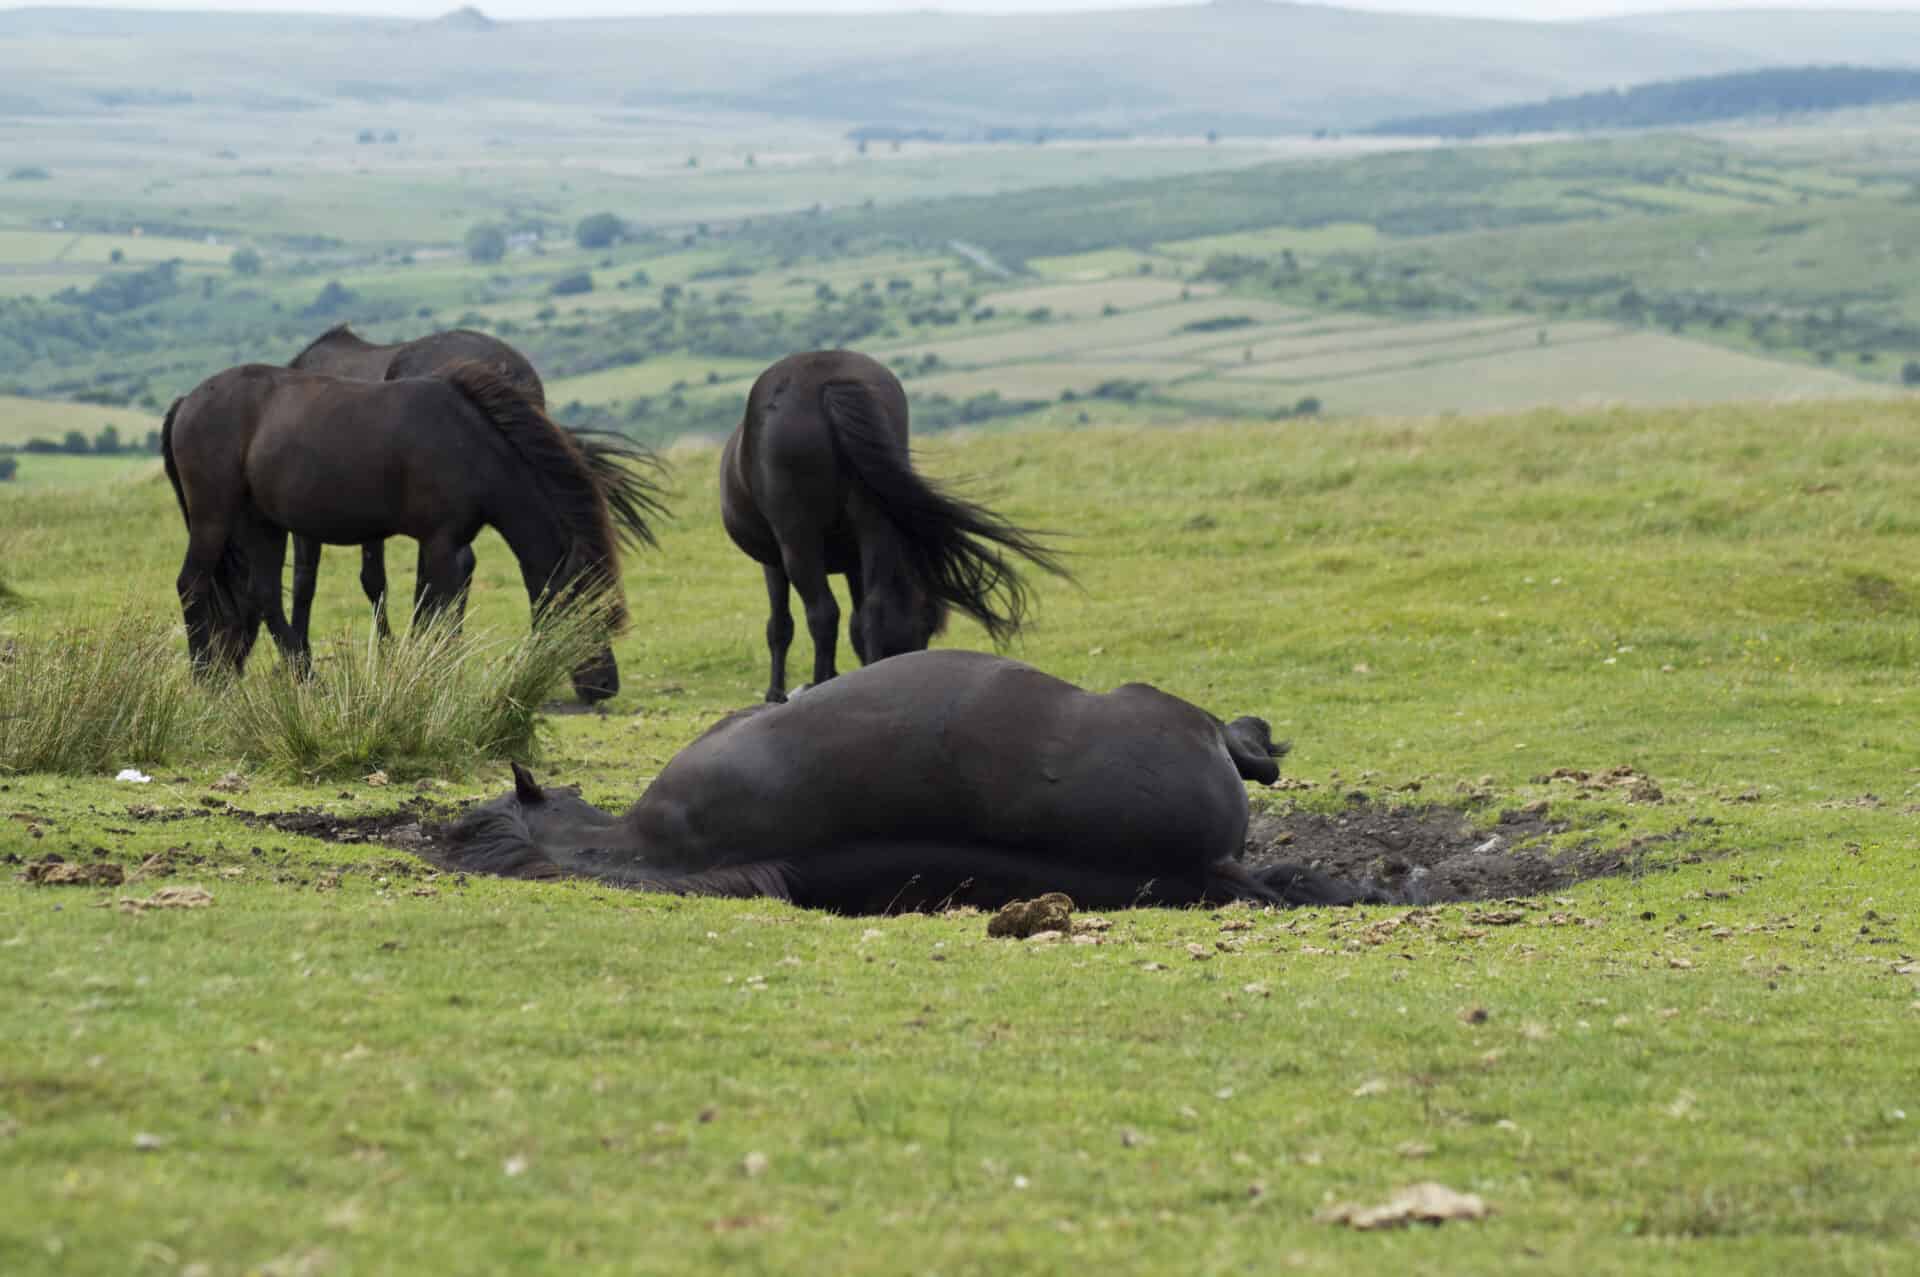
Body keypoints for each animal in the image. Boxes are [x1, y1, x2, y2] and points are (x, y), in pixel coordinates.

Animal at [161, 361, 653, 702]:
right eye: (587, 611)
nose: (605, 685)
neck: (473, 445)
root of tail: (187, 401)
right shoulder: (440, 541)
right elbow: (436, 608)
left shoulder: (449, 545)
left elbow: (436, 606)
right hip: (213, 517)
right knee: (191, 583)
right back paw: (204, 678)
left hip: (262, 524)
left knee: (263, 595)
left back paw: (306, 680)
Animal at [720, 350, 1068, 703]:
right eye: (926, 627)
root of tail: (829, 381)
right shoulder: (852, 561)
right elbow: (853, 623)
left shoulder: (774, 560)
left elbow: (780, 626)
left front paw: (776, 693)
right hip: (874, 524)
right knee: (873, 610)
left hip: (799, 540)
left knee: (823, 614)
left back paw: (820, 683)